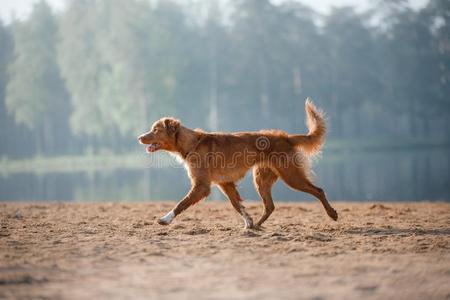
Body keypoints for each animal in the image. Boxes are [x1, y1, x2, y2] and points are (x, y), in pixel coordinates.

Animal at [137, 98, 338, 227]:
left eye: (155, 130)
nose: (139, 137)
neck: (192, 143)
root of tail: (286, 137)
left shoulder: (202, 185)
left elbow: (181, 203)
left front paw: (165, 219)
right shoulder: (225, 183)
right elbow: (237, 205)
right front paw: (248, 221)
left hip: (291, 175)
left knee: (318, 190)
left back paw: (332, 213)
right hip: (262, 179)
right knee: (270, 206)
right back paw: (256, 225)